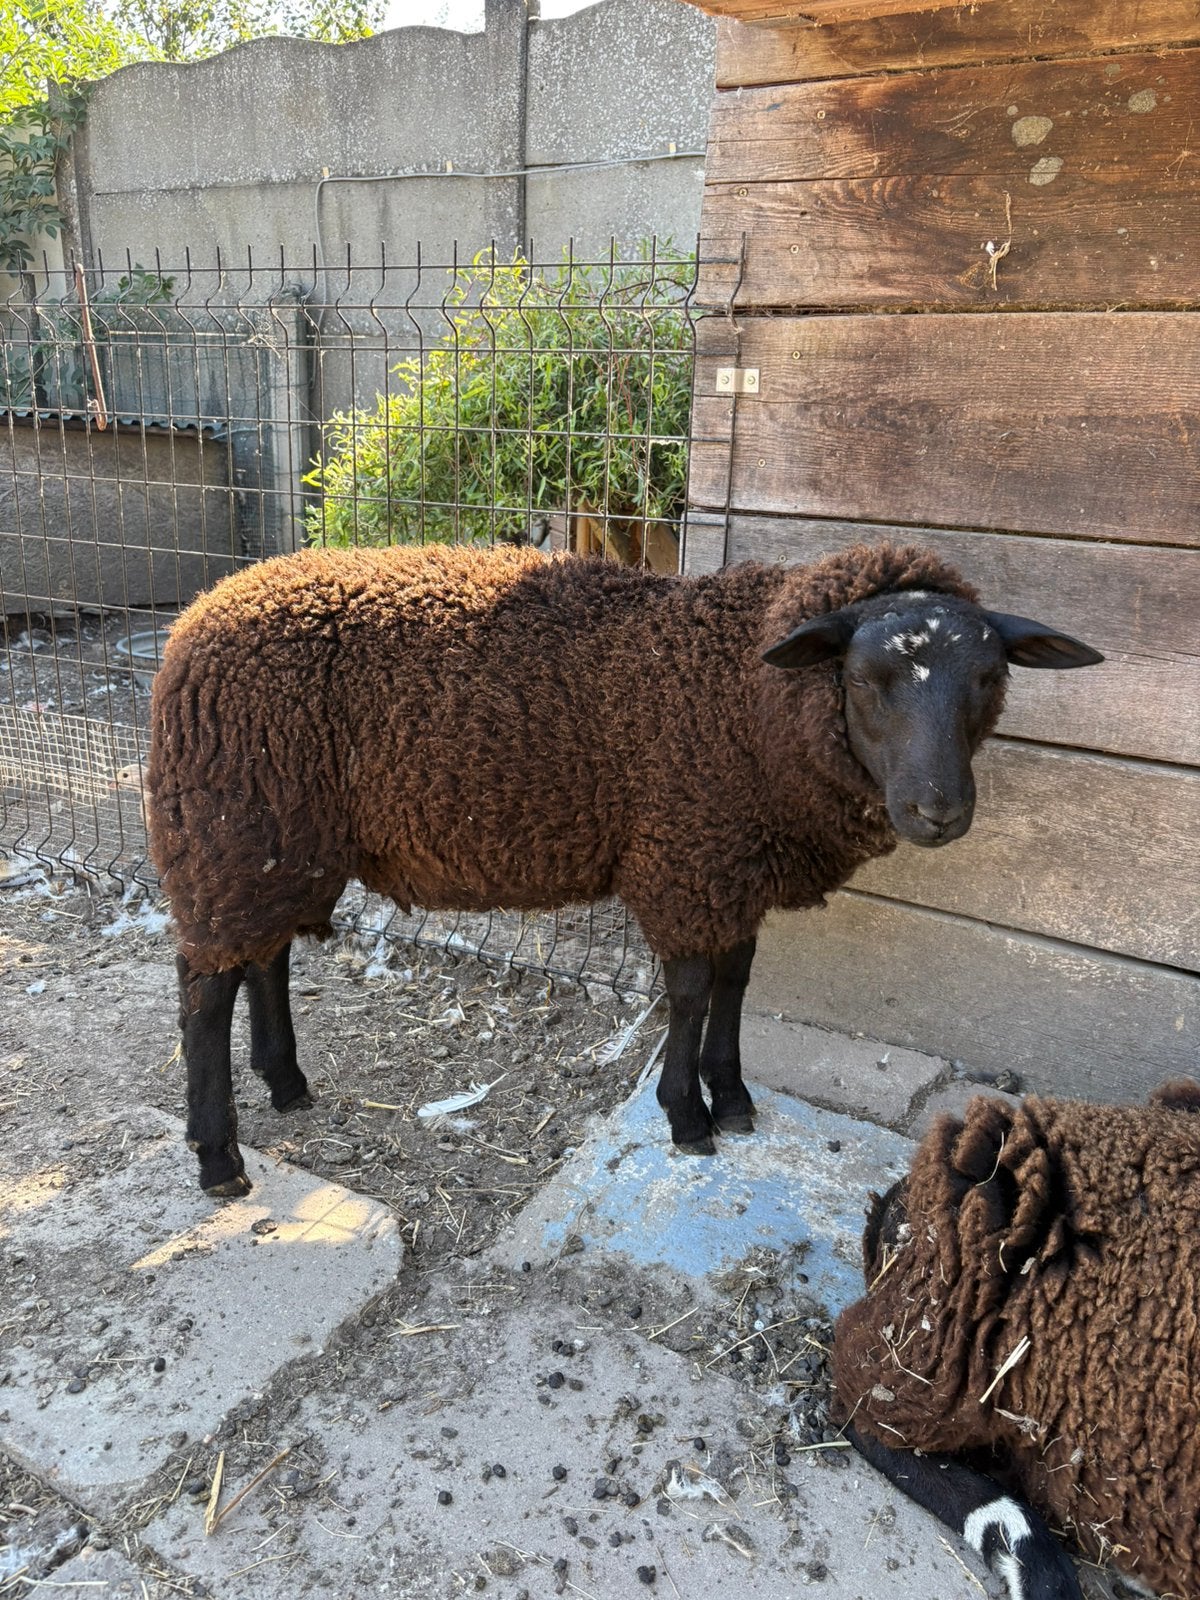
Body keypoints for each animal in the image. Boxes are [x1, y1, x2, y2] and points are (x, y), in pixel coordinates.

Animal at [145, 539, 1103, 1195]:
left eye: (989, 678)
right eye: (865, 679)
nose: (940, 811)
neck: (745, 696)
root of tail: (196, 616)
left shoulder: (731, 867)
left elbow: (736, 979)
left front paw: (735, 1097)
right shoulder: (686, 856)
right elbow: (689, 991)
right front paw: (687, 1116)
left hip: (274, 841)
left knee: (261, 955)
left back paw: (286, 1083)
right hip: (232, 826)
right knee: (203, 987)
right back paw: (220, 1157)